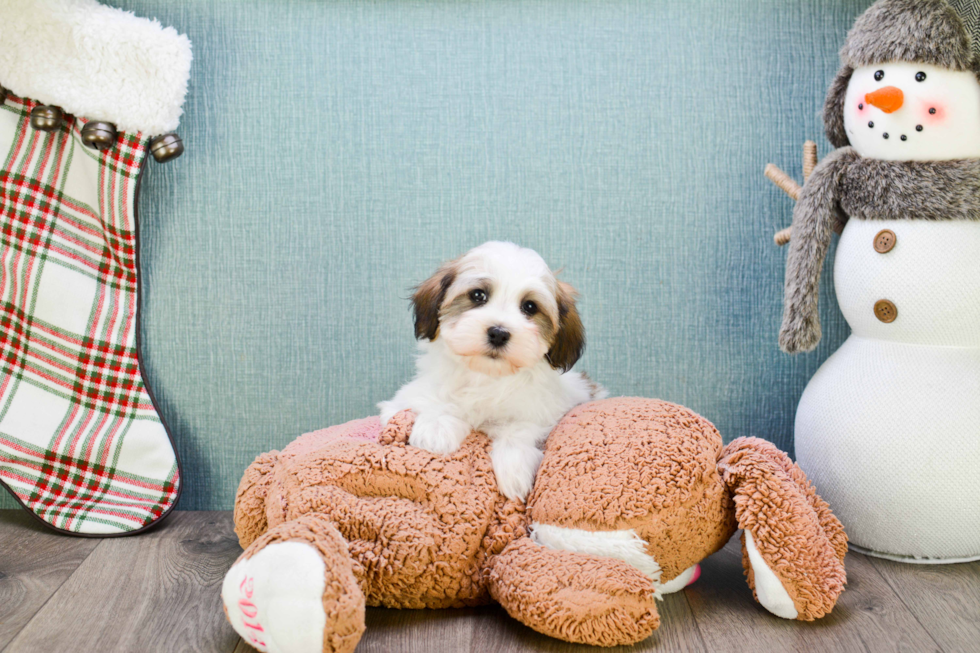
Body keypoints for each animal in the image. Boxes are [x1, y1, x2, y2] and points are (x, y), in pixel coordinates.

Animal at [378, 239, 600, 500]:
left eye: (529, 307)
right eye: (477, 295)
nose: (498, 333)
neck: (486, 376)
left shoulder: (546, 411)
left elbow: (520, 428)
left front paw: (514, 467)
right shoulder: (406, 399)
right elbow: (435, 402)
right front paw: (435, 428)